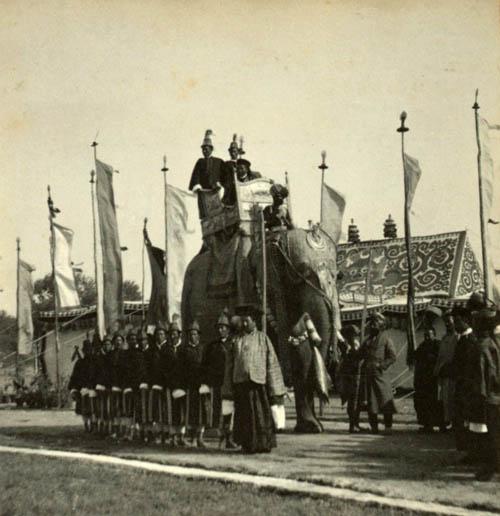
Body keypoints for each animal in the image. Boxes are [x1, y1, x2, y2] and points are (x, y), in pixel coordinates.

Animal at [182, 228, 342, 434]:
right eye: (302, 271)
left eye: (337, 275)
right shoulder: (256, 297)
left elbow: (300, 352)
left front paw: (311, 427)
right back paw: (211, 428)